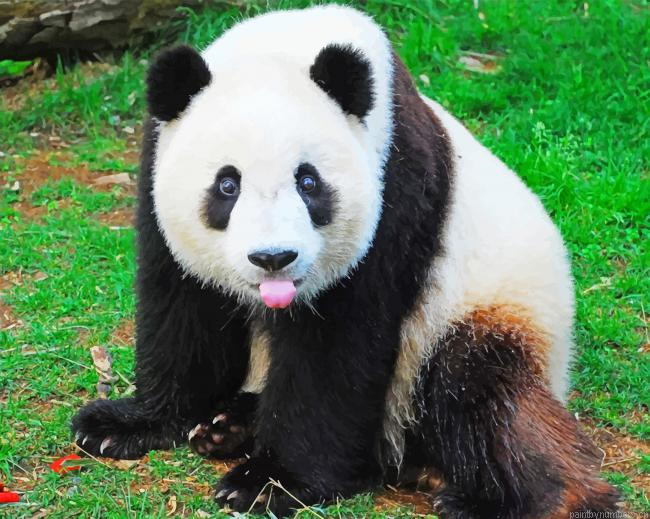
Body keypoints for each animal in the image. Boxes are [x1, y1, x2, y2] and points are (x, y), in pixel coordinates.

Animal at [72, 5, 620, 518]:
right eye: (227, 184)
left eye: (308, 182)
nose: (274, 258)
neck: (284, 45)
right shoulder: (157, 165)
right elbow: (183, 305)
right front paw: (123, 423)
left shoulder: (396, 185)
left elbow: (339, 341)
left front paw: (269, 482)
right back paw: (227, 426)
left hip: (480, 314)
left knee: (479, 395)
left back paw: (506, 498)